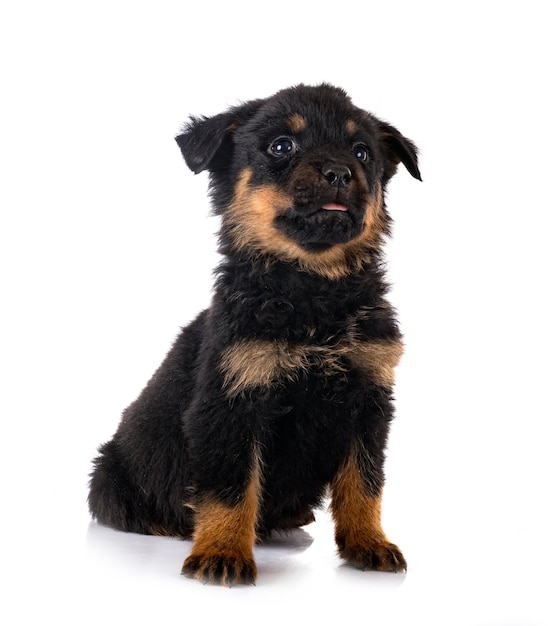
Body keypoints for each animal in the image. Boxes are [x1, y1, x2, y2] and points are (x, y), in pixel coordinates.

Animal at [88, 84, 422, 584]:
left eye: (362, 152)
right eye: (281, 146)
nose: (339, 172)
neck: (314, 293)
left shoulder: (368, 400)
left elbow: (364, 483)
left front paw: (368, 542)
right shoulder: (231, 401)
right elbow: (231, 487)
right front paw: (222, 551)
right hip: (107, 475)